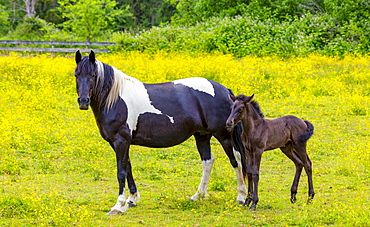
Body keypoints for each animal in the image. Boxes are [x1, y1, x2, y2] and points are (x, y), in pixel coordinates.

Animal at [73, 50, 247, 215]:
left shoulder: (121, 141)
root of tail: (225, 91)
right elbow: (128, 167)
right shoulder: (118, 143)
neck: (115, 99)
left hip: (224, 136)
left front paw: (118, 206)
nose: (83, 101)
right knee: (208, 161)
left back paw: (241, 197)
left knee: (236, 160)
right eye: (76, 74)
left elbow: (121, 172)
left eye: (93, 75)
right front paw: (132, 199)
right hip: (202, 136)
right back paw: (198, 196)